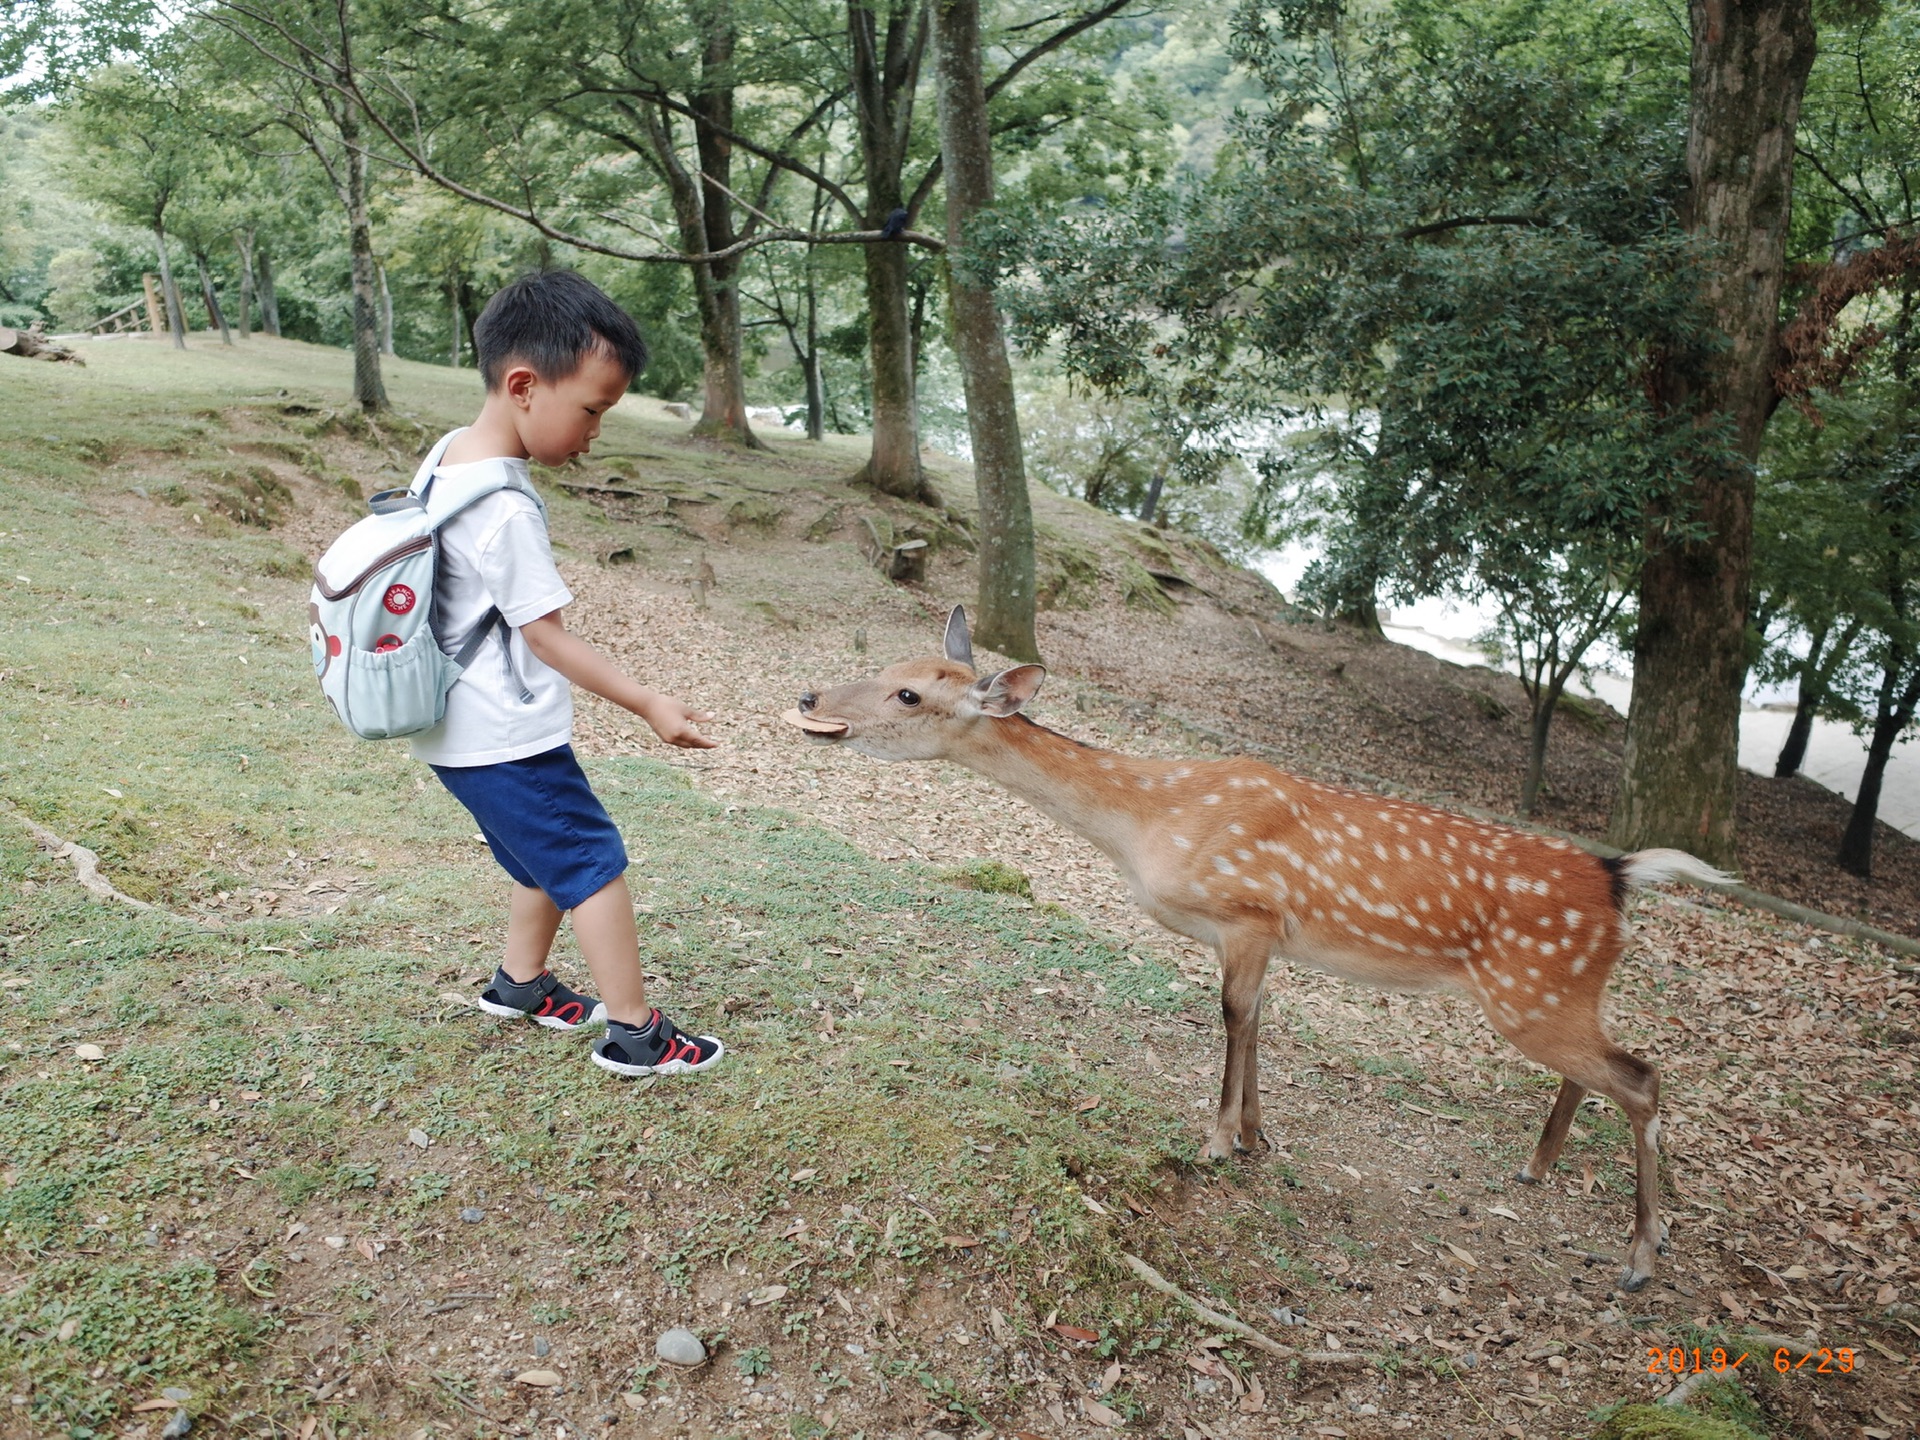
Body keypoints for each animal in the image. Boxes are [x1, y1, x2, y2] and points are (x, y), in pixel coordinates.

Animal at [787, 602, 1735, 1290]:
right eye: (890, 667)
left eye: (912, 695)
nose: (807, 699)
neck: (1149, 822)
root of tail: (1618, 876)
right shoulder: (1258, 935)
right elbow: (1258, 1021)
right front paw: (1256, 1136)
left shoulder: (1245, 913)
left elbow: (1232, 1016)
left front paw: (1215, 1144)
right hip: (1560, 992)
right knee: (1607, 1069)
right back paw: (1539, 1169)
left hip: (1533, 992)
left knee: (1643, 1077)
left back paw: (1641, 1256)